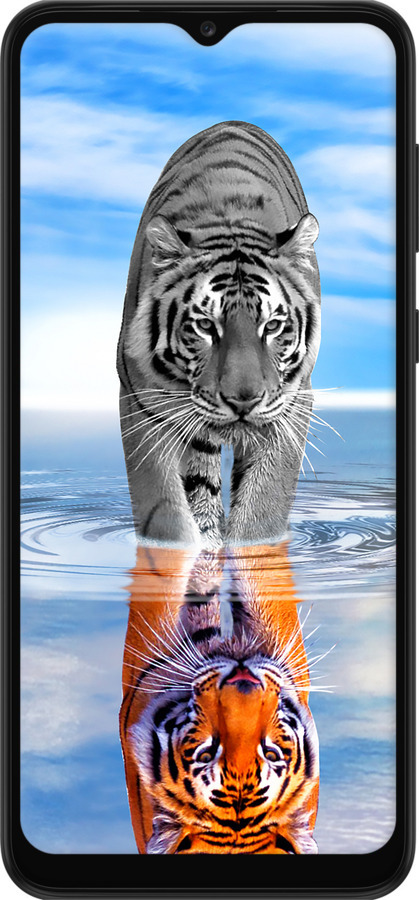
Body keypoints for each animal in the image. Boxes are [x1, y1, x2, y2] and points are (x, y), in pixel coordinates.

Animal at [117, 120, 321, 548]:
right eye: (205, 326)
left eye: (272, 326)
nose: (243, 401)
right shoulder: (141, 401)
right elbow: (165, 511)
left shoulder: (292, 404)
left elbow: (263, 508)